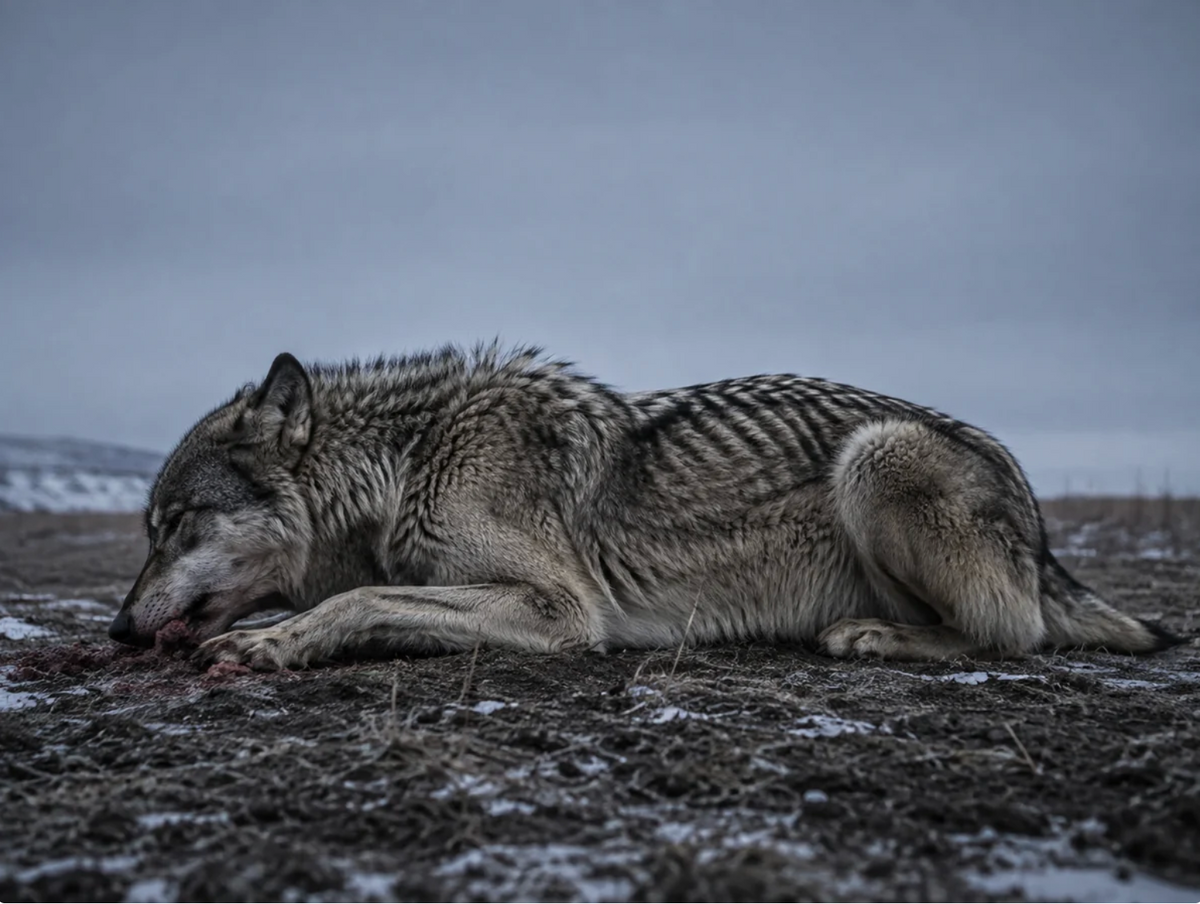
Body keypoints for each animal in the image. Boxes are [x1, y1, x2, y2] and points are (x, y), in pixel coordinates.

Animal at [109, 344, 1180, 669]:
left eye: (174, 525)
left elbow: (355, 599)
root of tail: (1041, 529)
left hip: (877, 457)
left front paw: (275, 643)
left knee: (1013, 633)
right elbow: (359, 594)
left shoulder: (562, 610)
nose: (117, 630)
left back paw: (869, 637)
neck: (409, 464)